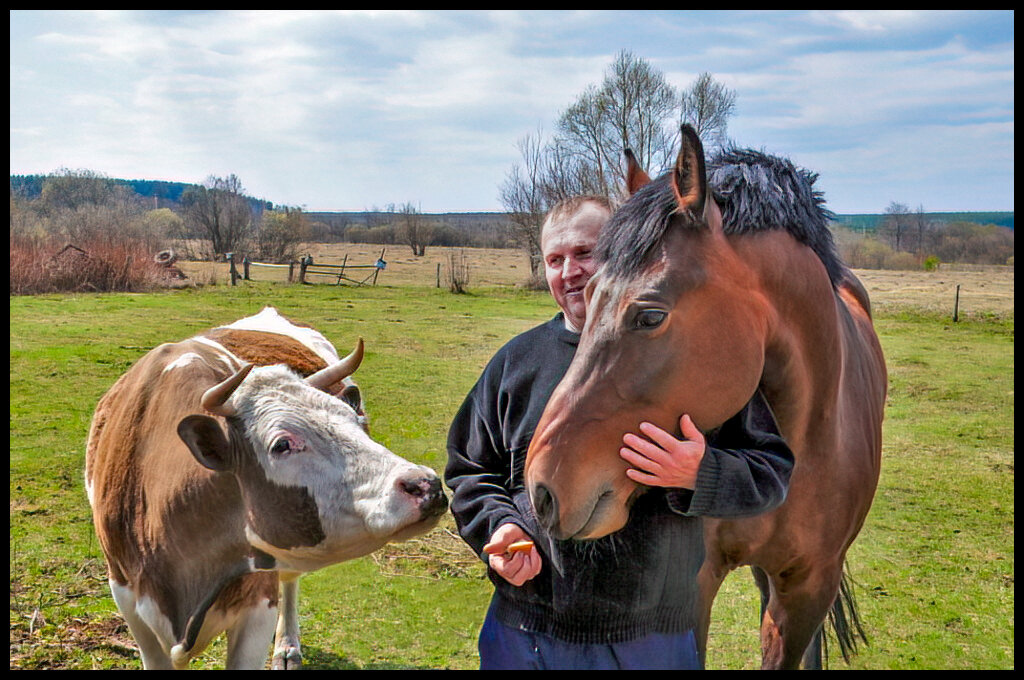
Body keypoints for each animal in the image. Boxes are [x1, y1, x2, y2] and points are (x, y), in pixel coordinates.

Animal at [90, 309, 450, 667]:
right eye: (281, 445)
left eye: (355, 421)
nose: (427, 484)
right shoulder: (127, 598)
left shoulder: (257, 603)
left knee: (289, 580)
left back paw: (287, 646)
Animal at [524, 125, 884, 667]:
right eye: (586, 296)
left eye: (650, 315)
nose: (541, 488)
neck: (806, 444)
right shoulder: (692, 584)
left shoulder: (808, 589)